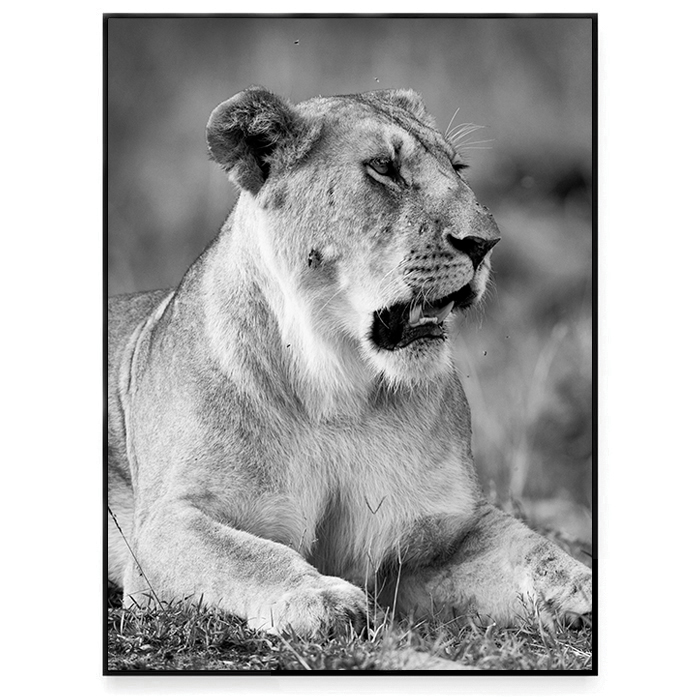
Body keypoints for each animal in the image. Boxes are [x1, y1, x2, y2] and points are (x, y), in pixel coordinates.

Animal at [107, 86, 592, 637]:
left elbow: (534, 551)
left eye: (457, 166)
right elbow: (246, 555)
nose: (485, 243)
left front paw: (584, 585)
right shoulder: (162, 527)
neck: (337, 387)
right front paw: (322, 598)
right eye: (383, 167)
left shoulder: (444, 528)